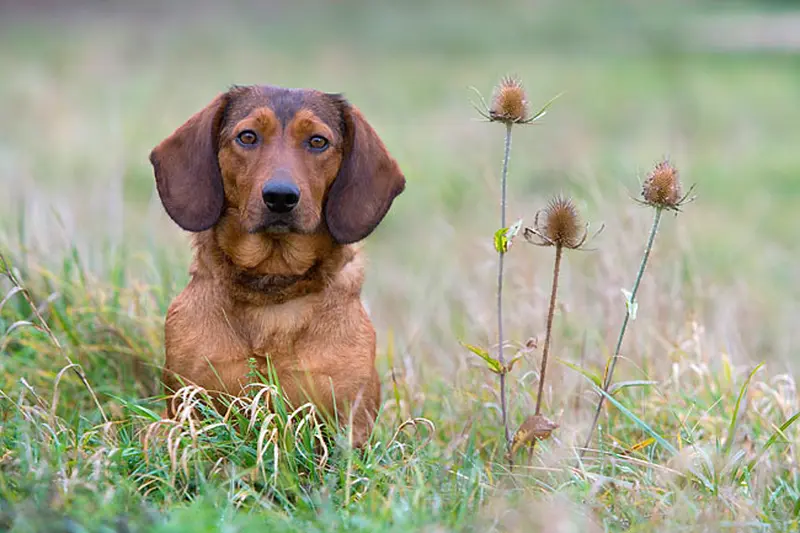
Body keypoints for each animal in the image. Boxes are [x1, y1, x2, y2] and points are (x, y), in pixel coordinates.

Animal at [149, 86, 404, 444]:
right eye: (248, 136)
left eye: (317, 141)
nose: (280, 196)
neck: (273, 286)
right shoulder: (186, 407)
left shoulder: (348, 422)